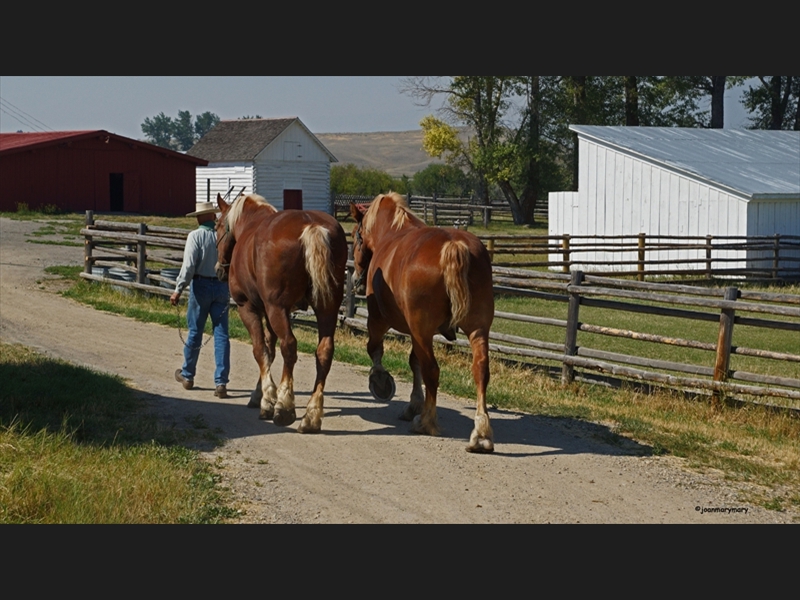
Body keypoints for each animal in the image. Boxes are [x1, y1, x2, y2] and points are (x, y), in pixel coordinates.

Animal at [214, 192, 348, 432]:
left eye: (218, 226)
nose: (219, 269)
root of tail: (311, 224)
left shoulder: (249, 307)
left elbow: (260, 350)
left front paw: (269, 400)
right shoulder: (269, 313)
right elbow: (269, 350)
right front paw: (260, 394)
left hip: (277, 308)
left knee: (289, 346)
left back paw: (285, 407)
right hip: (327, 307)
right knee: (324, 351)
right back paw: (312, 415)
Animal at [348, 192, 494, 450]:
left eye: (356, 238)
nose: (357, 277)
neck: (390, 233)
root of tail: (453, 245)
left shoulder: (379, 320)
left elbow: (375, 349)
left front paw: (380, 381)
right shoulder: (418, 332)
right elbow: (413, 361)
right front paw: (414, 403)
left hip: (420, 328)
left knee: (432, 370)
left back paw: (426, 420)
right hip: (477, 328)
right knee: (480, 370)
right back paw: (481, 432)